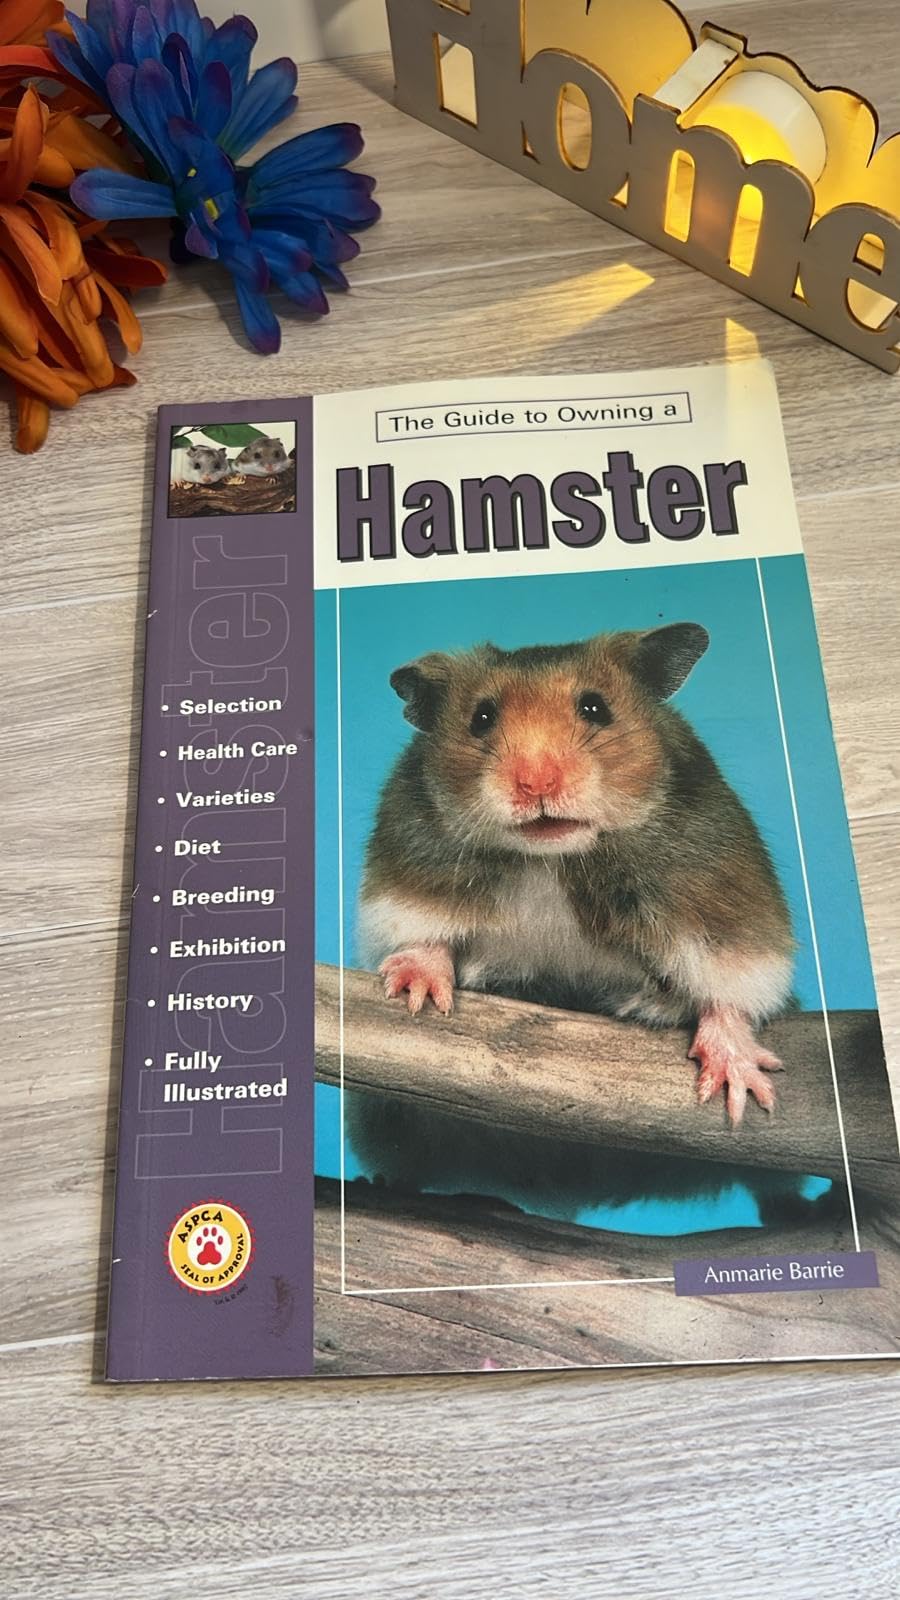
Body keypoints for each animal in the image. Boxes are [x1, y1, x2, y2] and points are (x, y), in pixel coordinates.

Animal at [359, 624, 795, 1127]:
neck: (551, 858)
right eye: (481, 717)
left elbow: (728, 987)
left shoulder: (718, 900)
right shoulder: (412, 870)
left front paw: (740, 1086)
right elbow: (424, 933)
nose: (536, 784)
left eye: (595, 708)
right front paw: (416, 990)